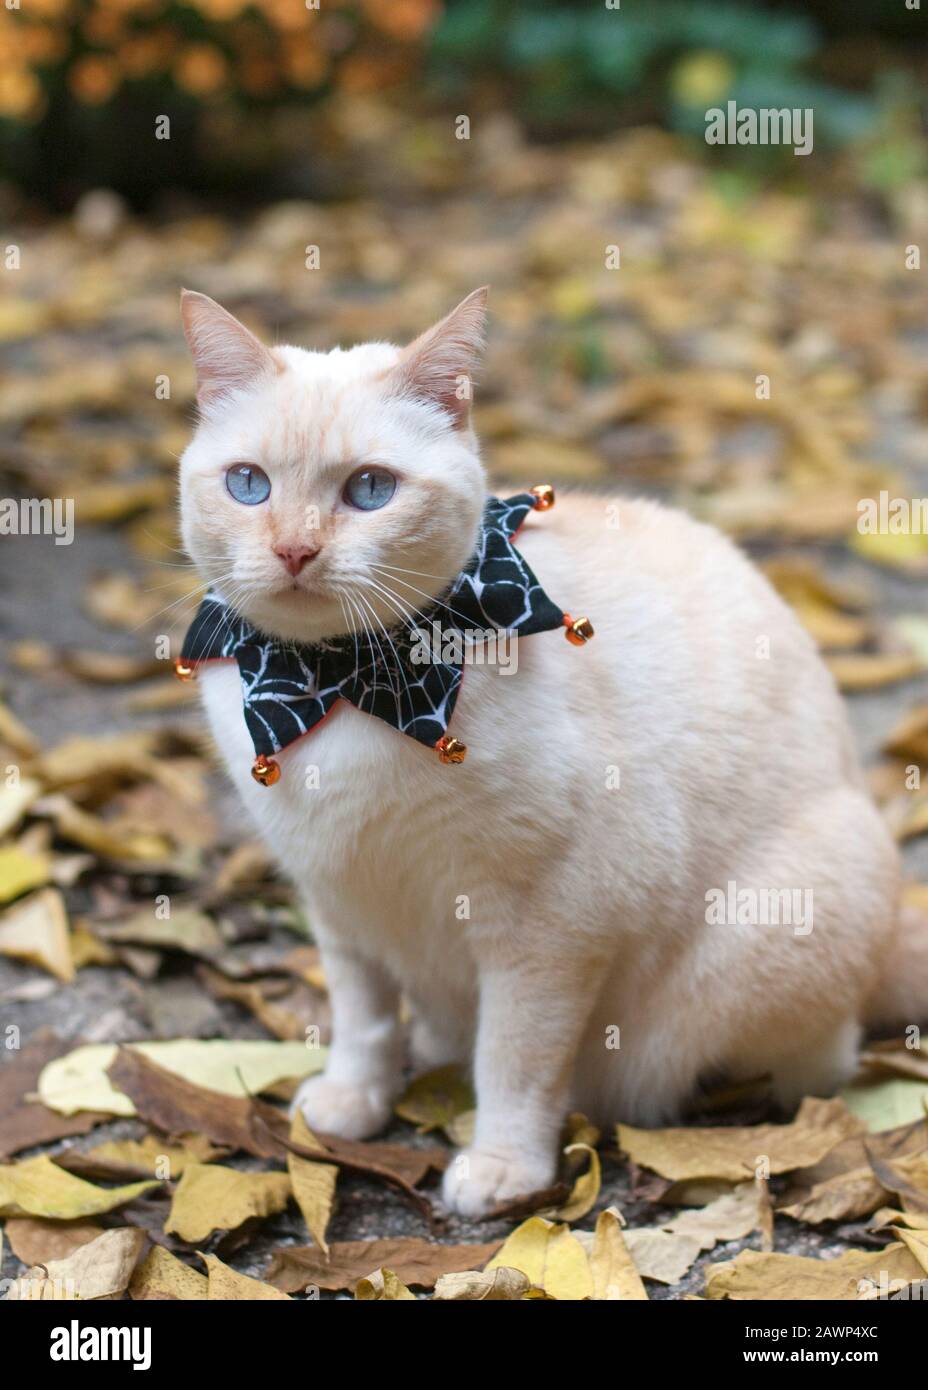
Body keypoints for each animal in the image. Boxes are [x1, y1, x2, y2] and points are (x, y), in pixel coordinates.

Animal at [179, 284, 922, 1217]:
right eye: (249, 485)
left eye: (369, 490)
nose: (294, 551)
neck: (336, 681)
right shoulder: (340, 901)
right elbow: (363, 1021)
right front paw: (353, 1104)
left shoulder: (549, 929)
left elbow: (516, 1059)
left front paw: (503, 1171)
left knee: (812, 1066)